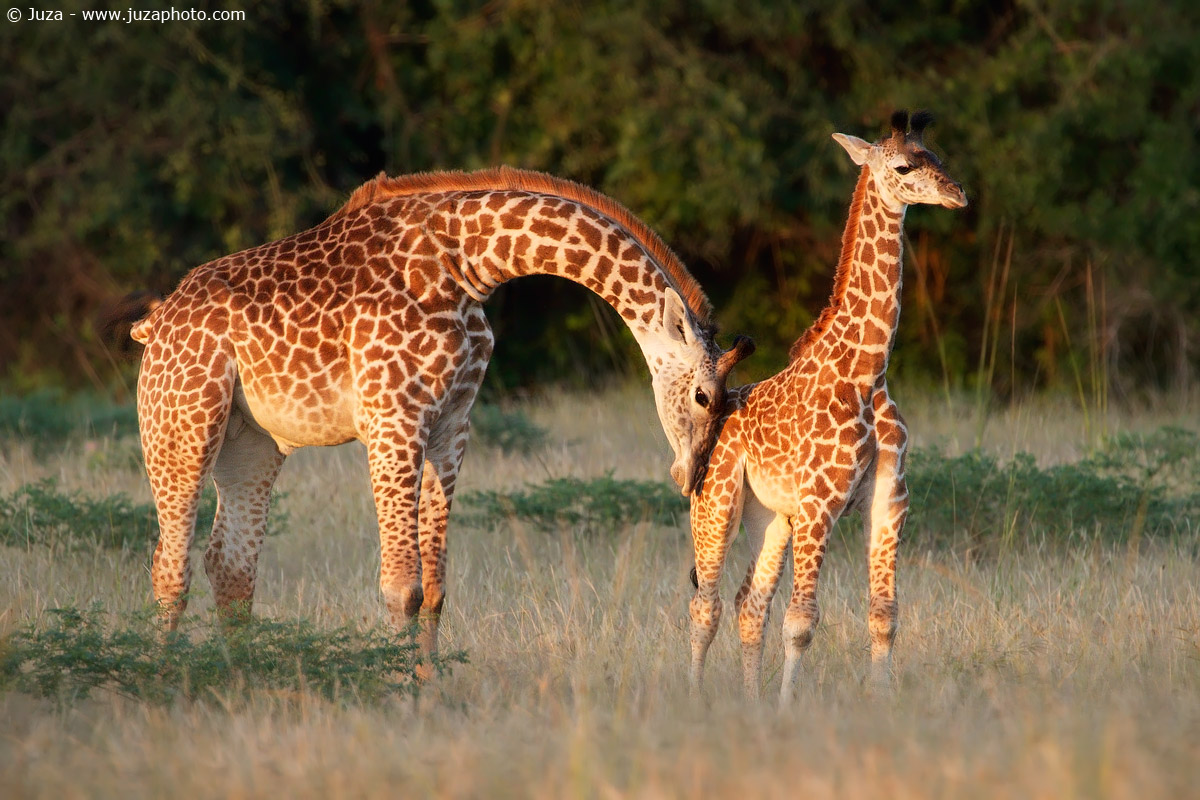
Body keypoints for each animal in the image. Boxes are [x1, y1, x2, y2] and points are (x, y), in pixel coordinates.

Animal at [126, 166, 754, 667]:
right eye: (704, 397)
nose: (693, 476)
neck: (466, 262)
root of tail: (153, 323)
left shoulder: (454, 424)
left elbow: (433, 587)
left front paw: (429, 692)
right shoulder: (392, 418)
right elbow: (399, 586)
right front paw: (397, 694)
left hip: (252, 443)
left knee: (230, 567)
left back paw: (237, 680)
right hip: (183, 421)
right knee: (170, 565)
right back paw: (164, 682)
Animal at [686, 111, 966, 702]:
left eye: (939, 158)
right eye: (904, 167)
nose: (958, 195)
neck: (867, 371)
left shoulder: (889, 500)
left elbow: (883, 615)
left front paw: (879, 703)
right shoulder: (820, 501)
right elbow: (802, 620)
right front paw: (789, 709)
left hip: (770, 517)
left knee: (749, 605)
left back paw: (749, 701)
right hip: (717, 504)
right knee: (707, 605)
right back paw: (694, 698)